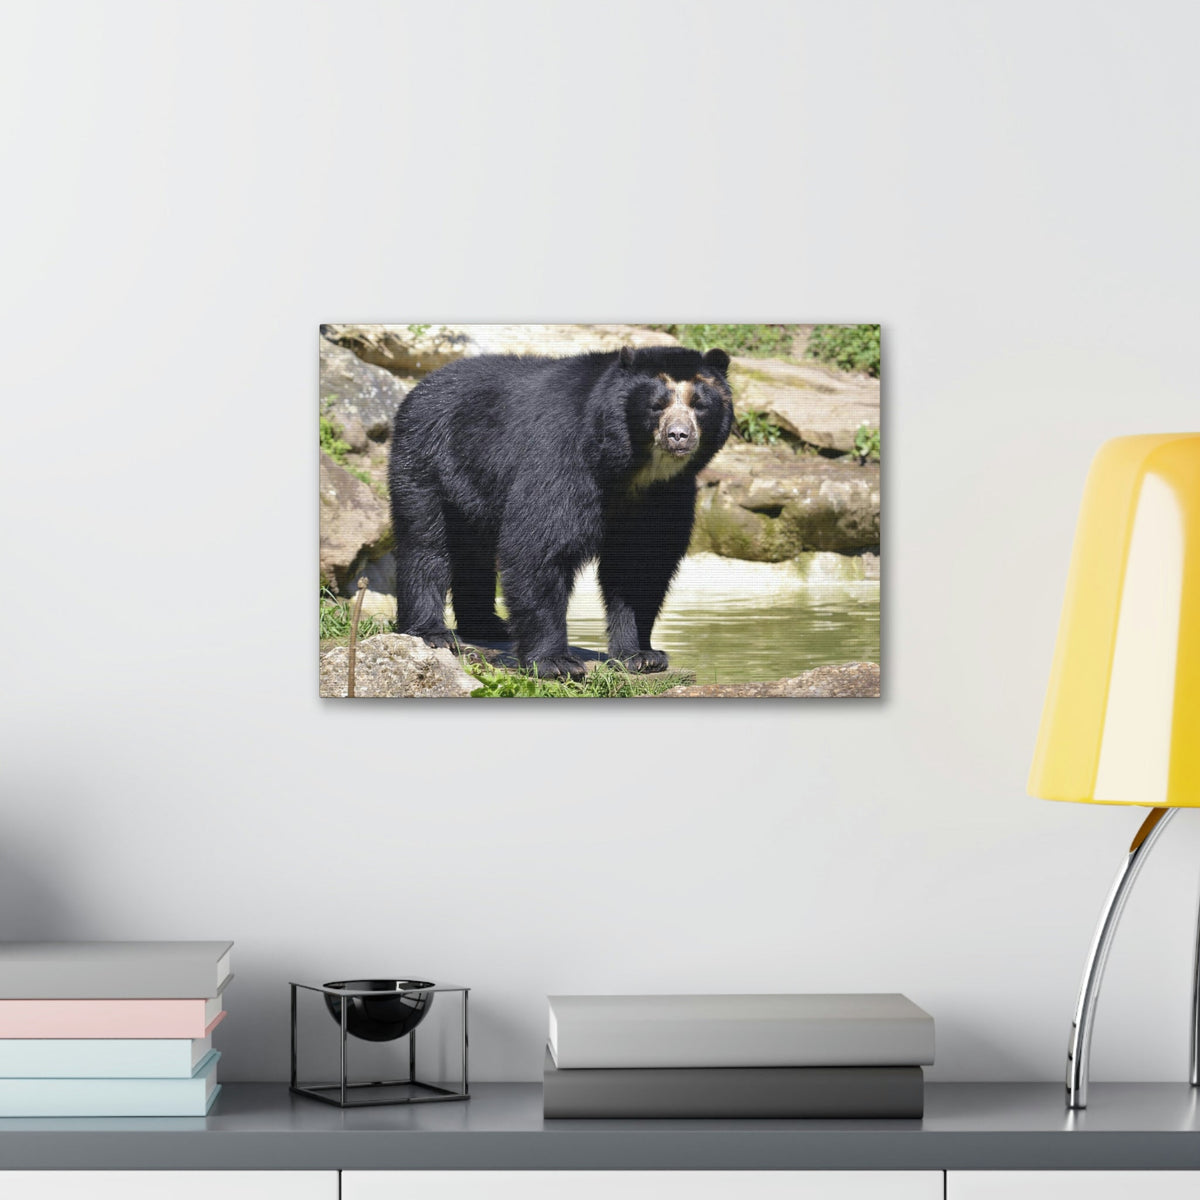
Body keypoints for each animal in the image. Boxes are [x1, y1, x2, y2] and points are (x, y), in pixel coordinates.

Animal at [387, 344, 734, 680]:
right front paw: (556, 663)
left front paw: (643, 656)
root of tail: (422, 385)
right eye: (656, 405)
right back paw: (433, 633)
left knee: (473, 552)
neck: (634, 469)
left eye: (699, 405)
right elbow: (540, 546)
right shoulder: (563, 457)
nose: (679, 435)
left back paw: (488, 625)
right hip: (429, 459)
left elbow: (642, 564)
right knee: (425, 543)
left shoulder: (666, 494)